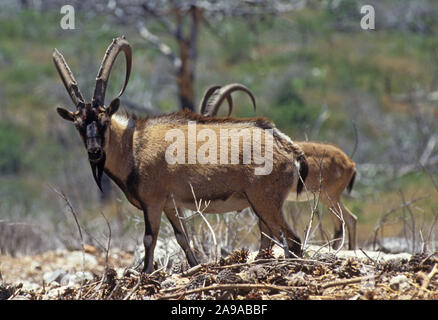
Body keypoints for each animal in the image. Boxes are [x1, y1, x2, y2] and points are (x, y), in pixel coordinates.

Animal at [53, 37, 308, 272]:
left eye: (104, 120)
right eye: (78, 125)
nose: (95, 152)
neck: (133, 146)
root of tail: (288, 148)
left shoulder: (153, 203)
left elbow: (149, 240)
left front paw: (147, 274)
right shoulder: (170, 205)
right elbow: (182, 238)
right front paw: (194, 267)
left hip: (265, 202)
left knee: (292, 240)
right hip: (262, 206)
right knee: (272, 239)